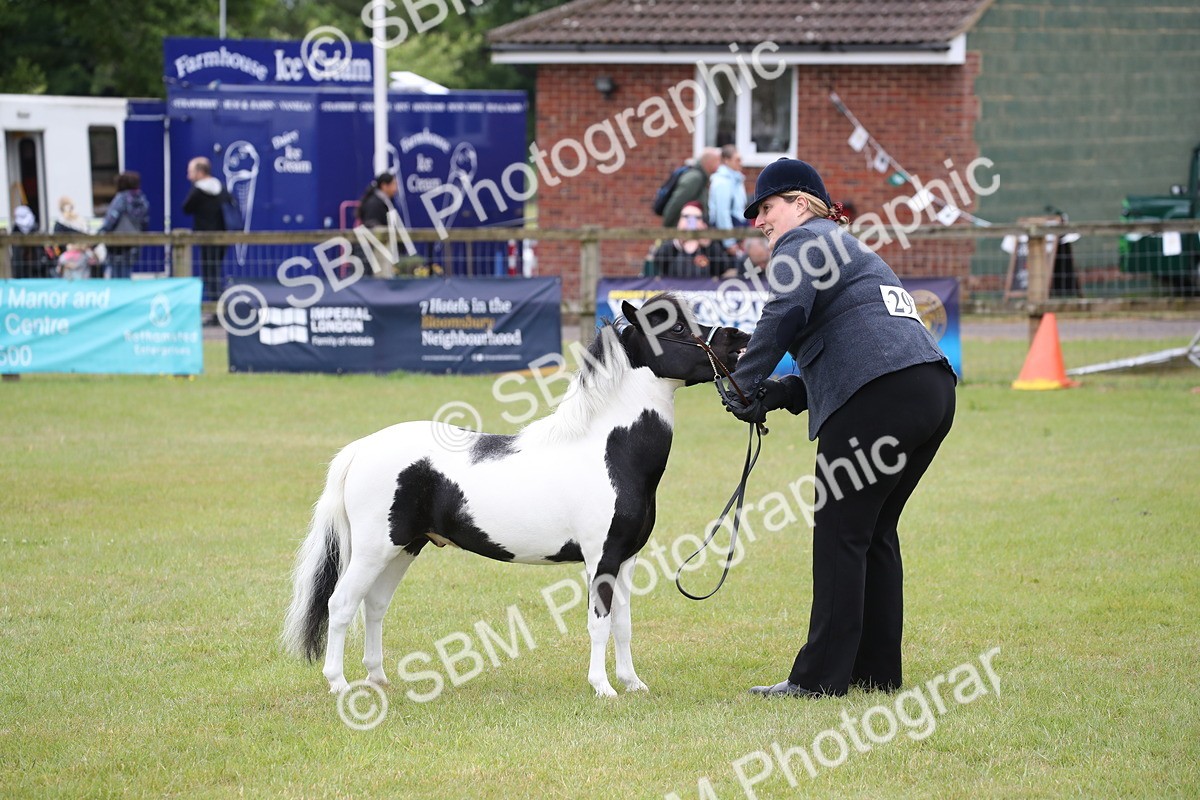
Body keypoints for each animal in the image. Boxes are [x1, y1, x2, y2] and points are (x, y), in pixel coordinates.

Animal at [282, 294, 750, 697]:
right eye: (675, 329)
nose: (739, 338)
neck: (610, 451)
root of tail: (361, 448)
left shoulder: (626, 558)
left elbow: (623, 624)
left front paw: (632, 683)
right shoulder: (600, 558)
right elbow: (598, 623)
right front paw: (603, 688)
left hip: (405, 547)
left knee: (374, 605)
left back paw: (378, 679)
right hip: (373, 549)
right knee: (342, 604)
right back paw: (339, 684)